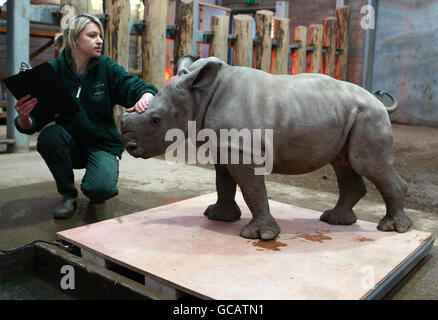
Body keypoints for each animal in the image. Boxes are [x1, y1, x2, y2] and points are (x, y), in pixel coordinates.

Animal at [121, 55, 412, 240]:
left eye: (155, 120)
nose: (130, 148)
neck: (198, 96)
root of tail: (377, 101)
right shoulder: (224, 145)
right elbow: (223, 182)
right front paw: (219, 217)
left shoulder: (241, 150)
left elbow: (251, 190)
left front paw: (259, 236)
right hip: (349, 115)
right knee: (343, 163)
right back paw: (334, 221)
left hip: (369, 115)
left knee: (366, 163)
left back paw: (393, 230)